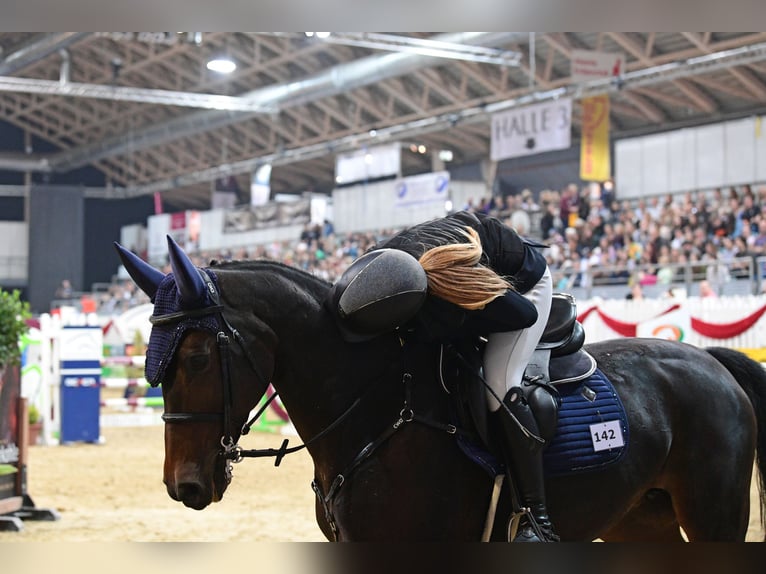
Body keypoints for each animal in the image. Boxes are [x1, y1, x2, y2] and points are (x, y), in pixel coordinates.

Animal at [115, 240, 766, 544]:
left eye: (198, 357)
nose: (184, 486)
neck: (376, 417)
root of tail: (709, 361)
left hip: (714, 514)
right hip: (639, 515)